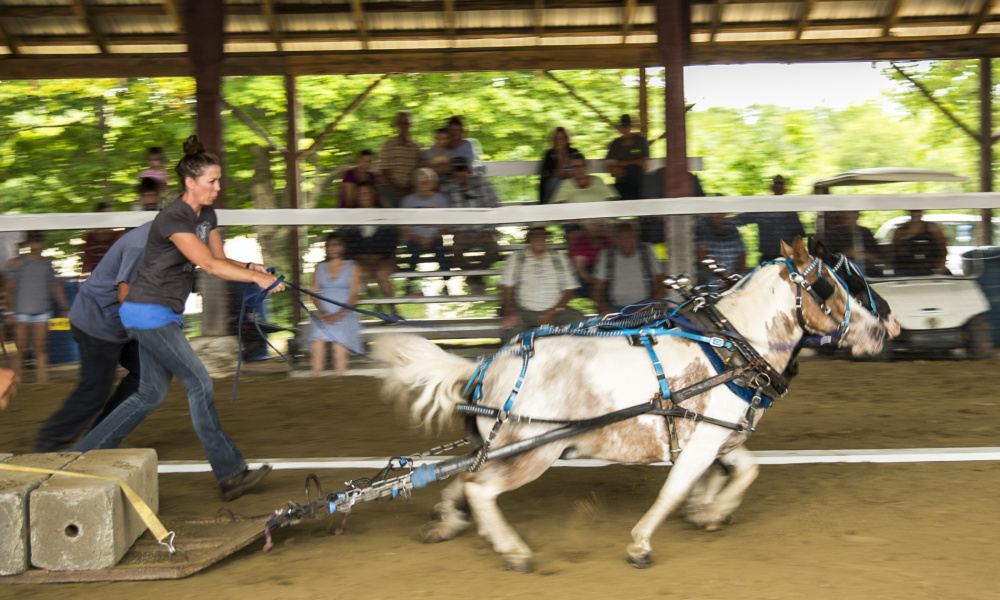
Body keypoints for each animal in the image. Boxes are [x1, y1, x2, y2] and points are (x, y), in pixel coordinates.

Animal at [374, 237, 889, 571]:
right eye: (832, 286)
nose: (885, 328)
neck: (730, 346)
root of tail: (487, 366)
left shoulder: (716, 432)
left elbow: (745, 471)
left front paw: (710, 512)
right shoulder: (705, 440)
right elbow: (675, 488)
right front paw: (642, 543)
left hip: (504, 447)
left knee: (464, 478)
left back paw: (446, 521)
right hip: (534, 452)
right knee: (480, 487)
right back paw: (513, 551)